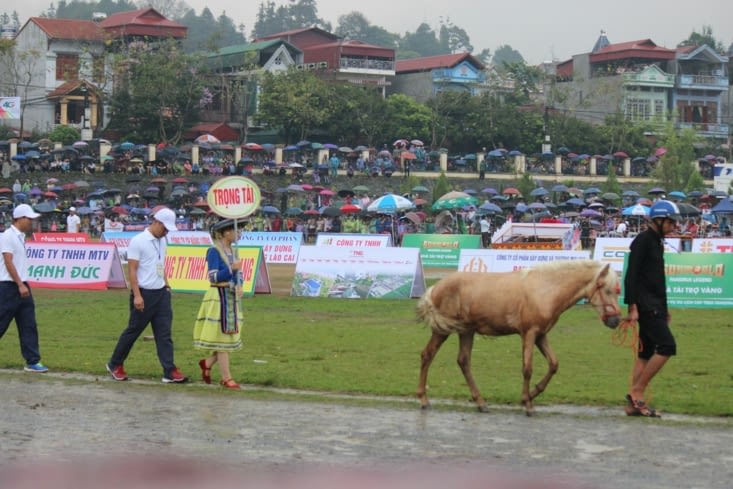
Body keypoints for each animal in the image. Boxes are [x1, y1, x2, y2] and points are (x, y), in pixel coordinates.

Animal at [416, 259, 621, 416]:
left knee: (463, 361)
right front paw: (527, 403)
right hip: (443, 330)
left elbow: (553, 364)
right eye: (607, 290)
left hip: (466, 331)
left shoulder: (541, 335)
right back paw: (423, 399)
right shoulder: (529, 334)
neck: (545, 288)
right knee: (427, 355)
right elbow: (527, 369)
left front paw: (533, 393)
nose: (616, 320)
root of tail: (436, 287)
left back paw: (480, 402)